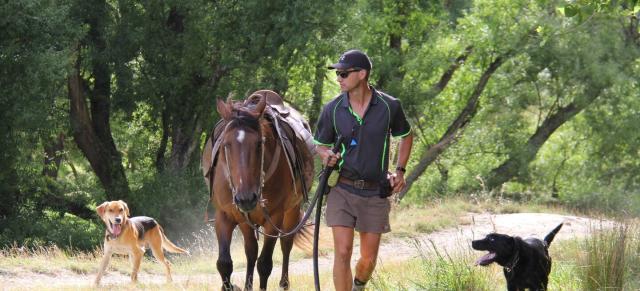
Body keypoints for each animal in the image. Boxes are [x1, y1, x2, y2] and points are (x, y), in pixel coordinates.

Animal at [202, 90, 316, 290]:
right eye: (226, 144)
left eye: (259, 143)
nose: (246, 198)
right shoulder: (225, 215)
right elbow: (224, 263)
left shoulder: (274, 218)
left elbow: (264, 264)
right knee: (251, 251)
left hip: (292, 210)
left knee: (286, 243)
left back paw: (284, 283)